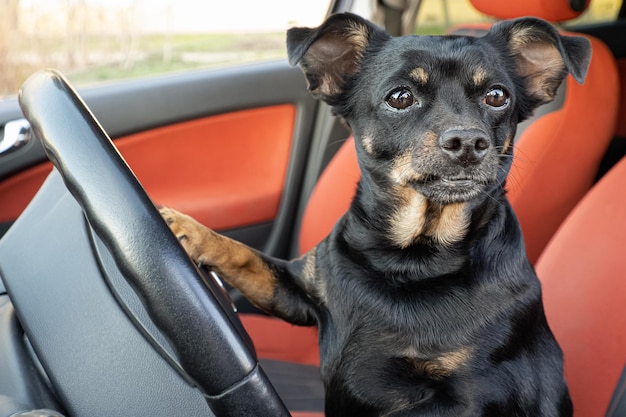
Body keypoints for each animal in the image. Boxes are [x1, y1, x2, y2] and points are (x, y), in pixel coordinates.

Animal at [158, 13, 588, 416]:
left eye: (497, 96)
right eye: (400, 97)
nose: (468, 140)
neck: (410, 257)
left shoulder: (470, 397)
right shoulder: (296, 291)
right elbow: (245, 256)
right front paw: (182, 225)